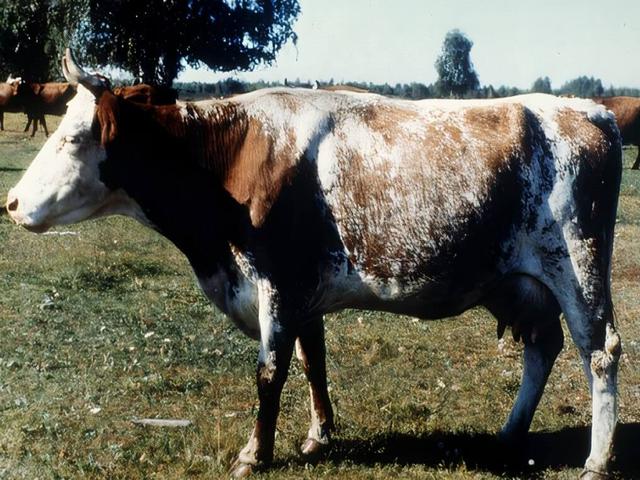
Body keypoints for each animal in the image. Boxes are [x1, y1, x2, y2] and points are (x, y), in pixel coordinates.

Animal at [6, 50, 623, 479]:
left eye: (73, 137)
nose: (10, 203)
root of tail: (587, 110)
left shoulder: (278, 282)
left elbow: (269, 372)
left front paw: (254, 453)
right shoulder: (305, 291)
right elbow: (312, 362)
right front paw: (318, 436)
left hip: (579, 265)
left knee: (601, 352)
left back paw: (596, 460)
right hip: (525, 282)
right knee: (543, 346)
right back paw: (510, 432)